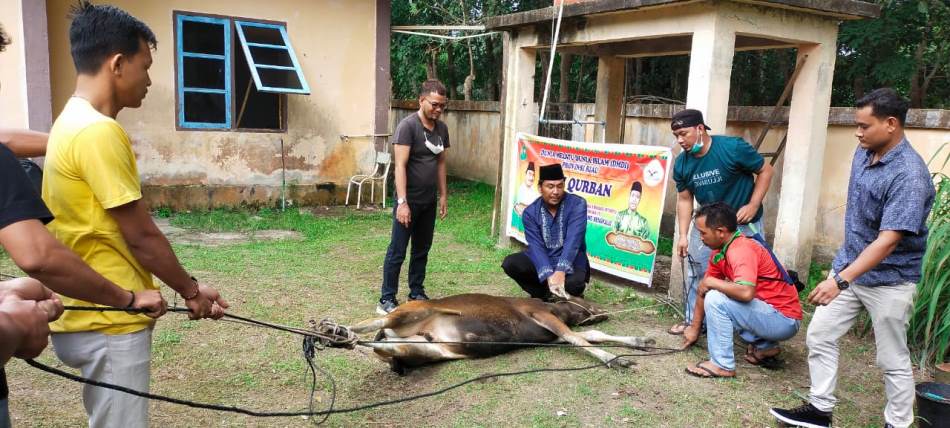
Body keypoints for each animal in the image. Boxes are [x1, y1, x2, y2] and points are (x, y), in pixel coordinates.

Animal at [350, 292, 656, 372]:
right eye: (583, 297)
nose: (603, 310)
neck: (559, 311)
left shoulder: (552, 335)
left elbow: (589, 335)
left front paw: (641, 341)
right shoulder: (542, 316)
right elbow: (580, 338)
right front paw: (614, 359)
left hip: (425, 349)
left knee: (384, 347)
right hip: (413, 310)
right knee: (372, 323)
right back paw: (343, 332)